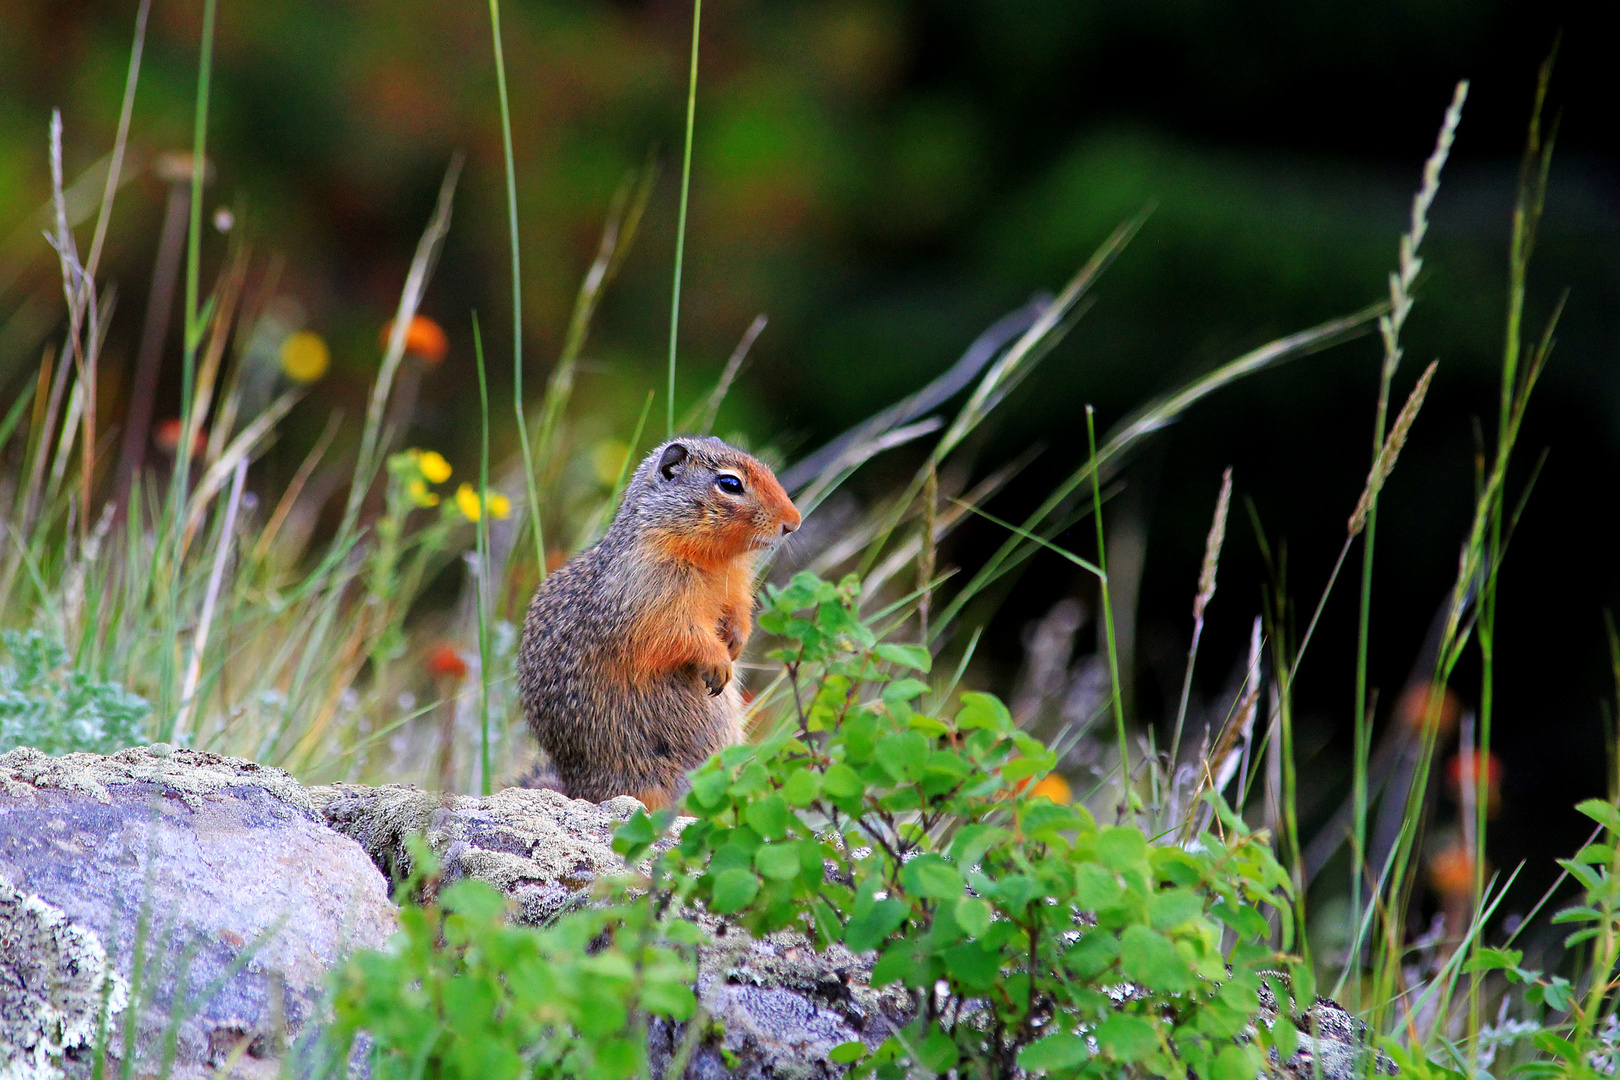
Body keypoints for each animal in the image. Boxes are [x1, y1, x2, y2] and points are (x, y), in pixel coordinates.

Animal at [515, 433, 800, 806]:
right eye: (730, 483)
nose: (794, 522)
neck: (712, 560)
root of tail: (579, 791)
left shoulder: (737, 589)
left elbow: (739, 614)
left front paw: (737, 643)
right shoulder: (651, 600)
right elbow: (679, 635)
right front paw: (719, 663)